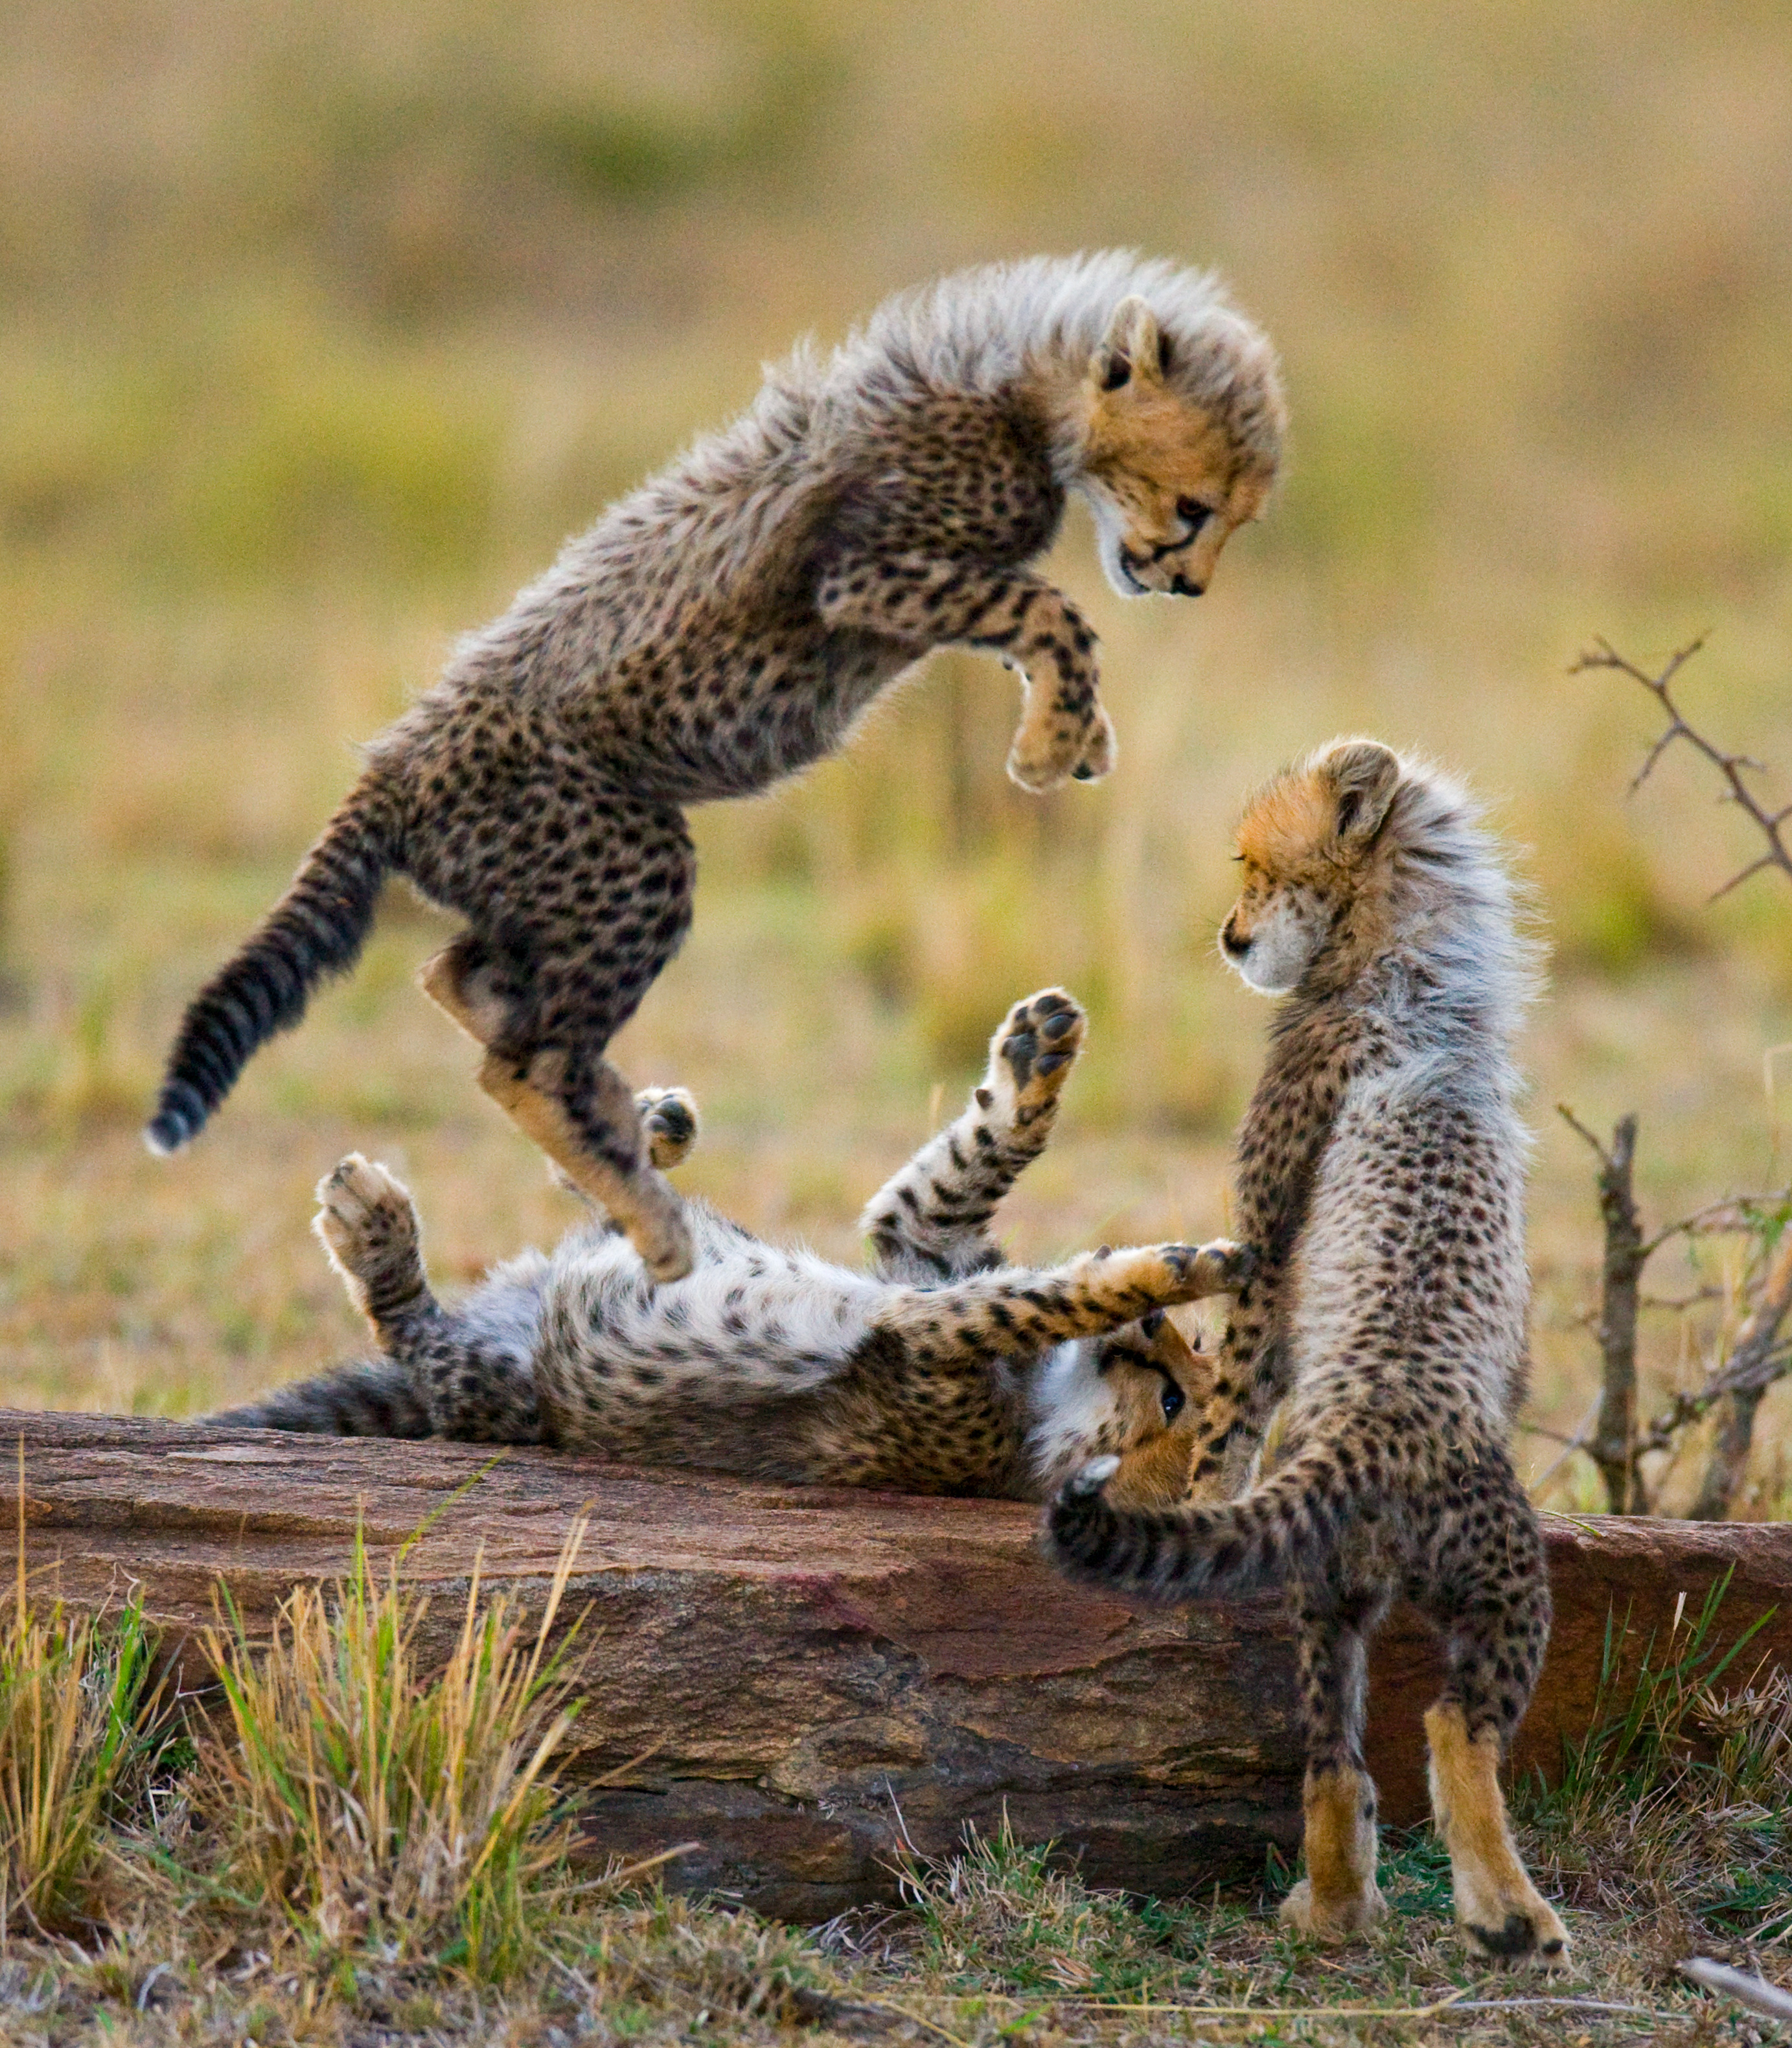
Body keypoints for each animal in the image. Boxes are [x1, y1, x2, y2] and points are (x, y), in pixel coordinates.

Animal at [145, 251, 1286, 1283]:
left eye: (1233, 519)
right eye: (1194, 506)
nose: (1186, 584)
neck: (1021, 396)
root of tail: (392, 764)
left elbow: (1040, 625)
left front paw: (1076, 735)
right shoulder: (866, 573)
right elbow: (1049, 609)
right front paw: (1050, 746)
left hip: (543, 887)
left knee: (460, 975)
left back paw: (631, 1129)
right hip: (631, 858)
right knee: (524, 1062)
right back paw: (651, 1219)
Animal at [209, 988, 1251, 1505]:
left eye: (1173, 1398)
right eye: (1186, 1363)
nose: (1154, 1335)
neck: (1045, 1409)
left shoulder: (919, 1336)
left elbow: (1031, 1294)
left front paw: (1167, 1266)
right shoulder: (921, 1249)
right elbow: (976, 1168)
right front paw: (1036, 1062)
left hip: (507, 1389)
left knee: (414, 1331)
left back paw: (371, 1223)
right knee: (628, 1203)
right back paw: (649, 1120)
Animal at [1044, 739, 1570, 1971]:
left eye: (1252, 866)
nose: (1231, 938)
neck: (1404, 967)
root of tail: (1384, 1420)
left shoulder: (1262, 1248)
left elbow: (1228, 1396)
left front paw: (1191, 1492)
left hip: (1466, 1583)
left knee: (1439, 1725)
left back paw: (1495, 1915)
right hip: (1373, 1588)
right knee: (1346, 1747)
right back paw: (1359, 1909)